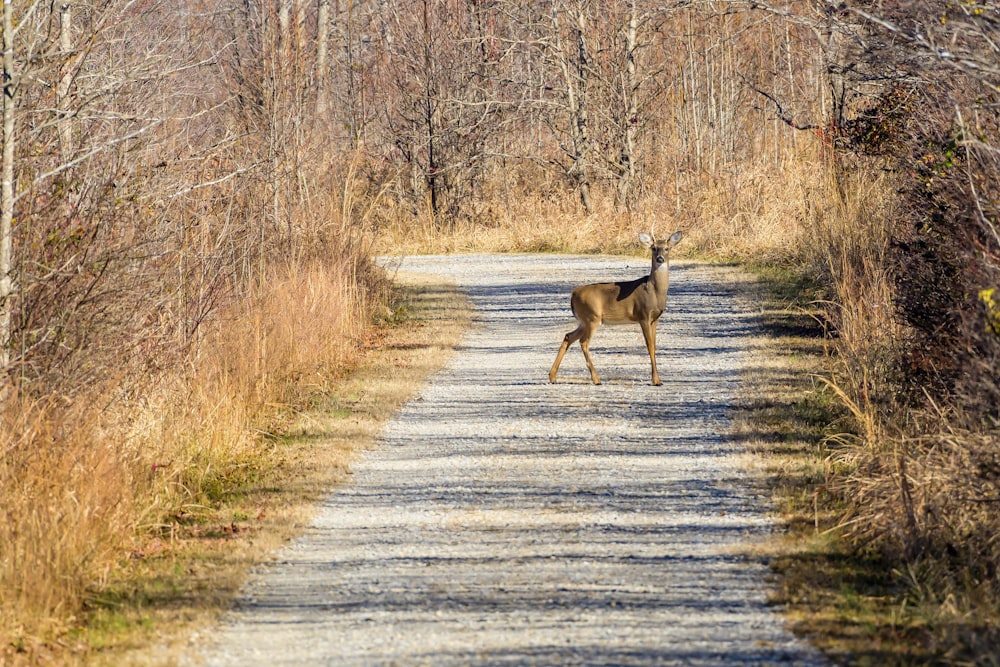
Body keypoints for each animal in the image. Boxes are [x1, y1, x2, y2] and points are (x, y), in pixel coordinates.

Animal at [552, 230, 684, 386]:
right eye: (653, 248)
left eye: (667, 248)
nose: (660, 258)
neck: (654, 291)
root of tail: (573, 294)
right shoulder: (643, 315)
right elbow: (649, 346)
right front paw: (656, 380)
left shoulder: (655, 318)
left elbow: (654, 346)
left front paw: (658, 379)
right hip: (592, 317)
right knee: (583, 342)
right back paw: (596, 379)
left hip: (584, 321)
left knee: (568, 336)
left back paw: (552, 376)